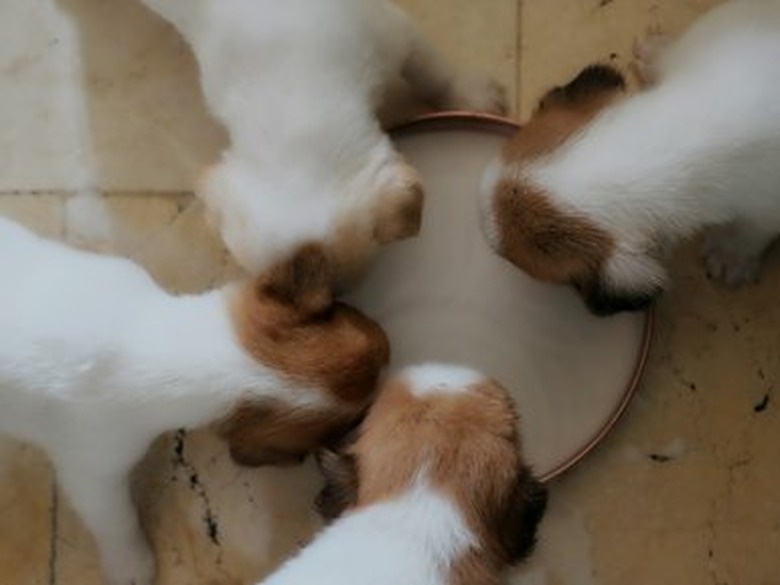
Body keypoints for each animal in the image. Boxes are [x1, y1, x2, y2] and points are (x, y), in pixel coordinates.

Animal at [0, 217, 390, 580]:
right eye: (355, 420)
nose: (392, 357)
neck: (159, 347)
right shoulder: (91, 469)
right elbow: (115, 520)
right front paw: (131, 563)